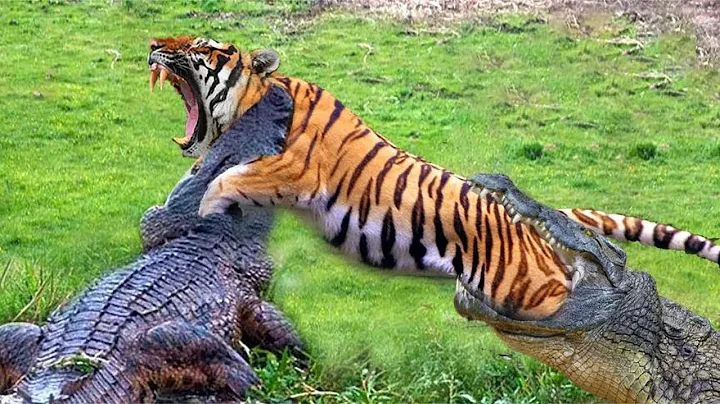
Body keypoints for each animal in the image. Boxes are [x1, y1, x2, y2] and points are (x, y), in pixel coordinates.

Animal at [148, 36, 719, 319]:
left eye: (203, 46)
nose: (155, 47)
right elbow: (209, 176)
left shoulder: (295, 170)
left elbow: (224, 181)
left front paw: (200, 217)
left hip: (524, 285)